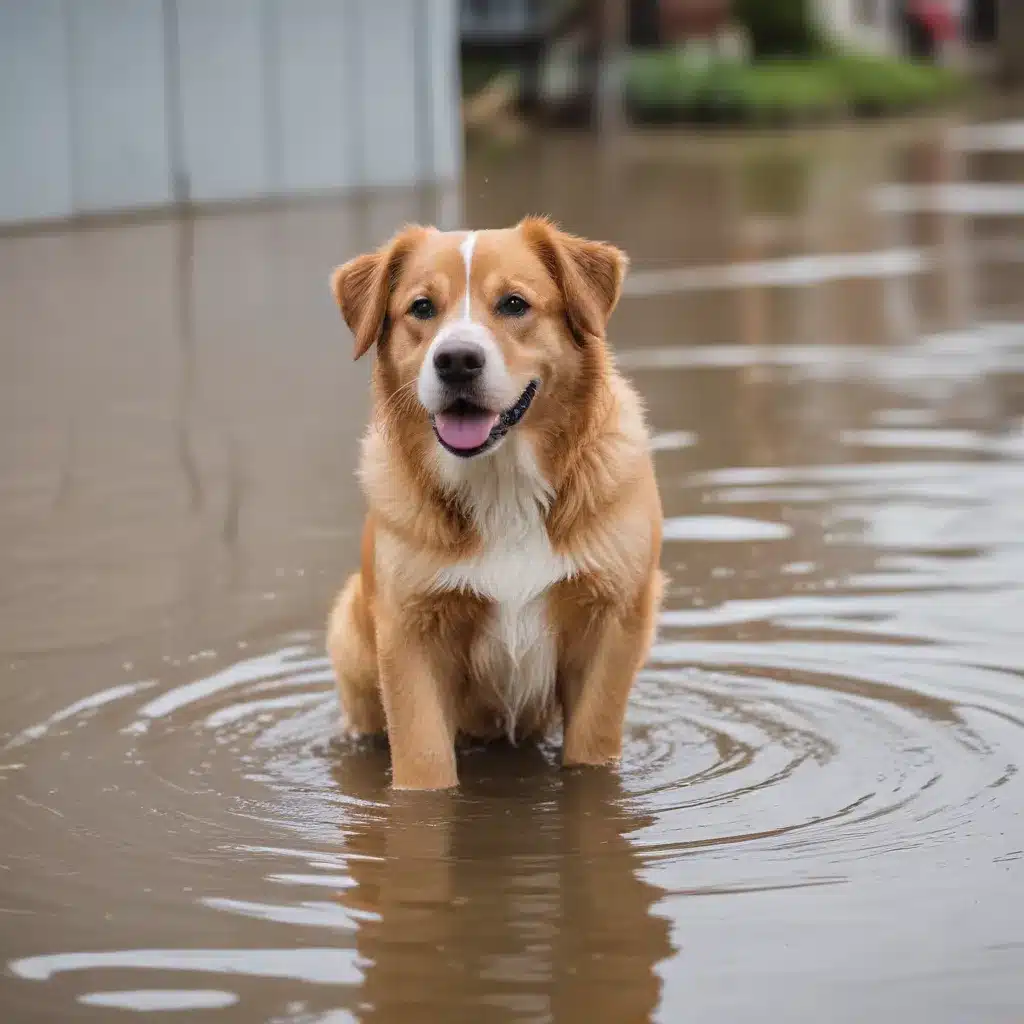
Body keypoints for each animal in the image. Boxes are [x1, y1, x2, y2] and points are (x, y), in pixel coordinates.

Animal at [325, 216, 663, 790]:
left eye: (513, 303)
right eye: (421, 307)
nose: (457, 360)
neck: (502, 487)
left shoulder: (613, 618)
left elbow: (591, 747)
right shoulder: (411, 631)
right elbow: (424, 763)